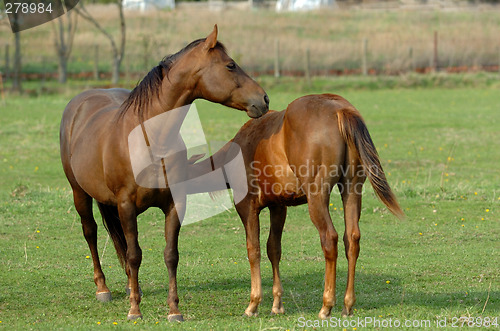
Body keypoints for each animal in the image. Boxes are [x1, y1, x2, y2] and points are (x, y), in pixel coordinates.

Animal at [59, 26, 270, 322]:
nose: (264, 99)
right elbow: (135, 254)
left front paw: (174, 310)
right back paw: (103, 289)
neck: (151, 140)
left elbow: (170, 255)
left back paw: (130, 286)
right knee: (90, 232)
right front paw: (134, 310)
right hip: (80, 193)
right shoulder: (126, 205)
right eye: (230, 65)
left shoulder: (174, 204)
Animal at [189, 92, 404, 320]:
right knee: (352, 238)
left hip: (317, 196)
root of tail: (340, 109)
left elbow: (253, 249)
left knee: (330, 238)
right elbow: (273, 248)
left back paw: (327, 305)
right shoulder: (278, 207)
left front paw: (253, 303)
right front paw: (277, 304)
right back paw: (347, 304)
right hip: (352, 188)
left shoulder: (246, 206)